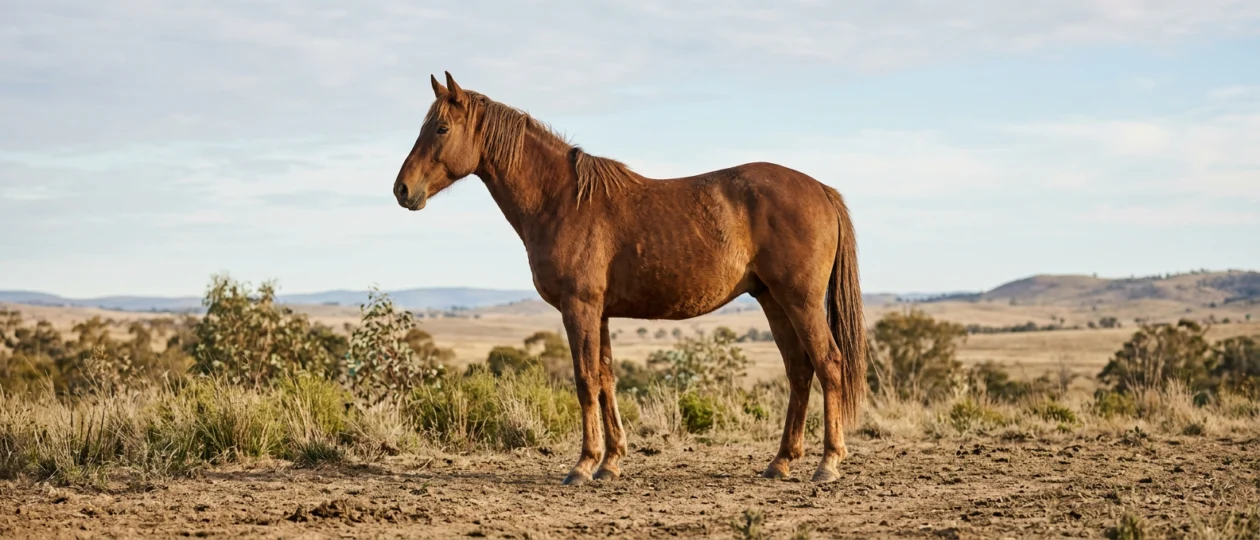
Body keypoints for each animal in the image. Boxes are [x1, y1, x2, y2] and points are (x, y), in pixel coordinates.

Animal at [393, 72, 867, 485]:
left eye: (440, 128)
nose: (402, 190)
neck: (561, 200)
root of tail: (821, 190)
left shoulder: (579, 307)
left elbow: (585, 382)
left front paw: (583, 466)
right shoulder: (599, 313)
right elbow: (606, 380)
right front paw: (611, 462)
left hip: (800, 300)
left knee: (829, 364)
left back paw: (827, 463)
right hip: (772, 300)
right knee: (799, 371)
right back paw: (781, 462)